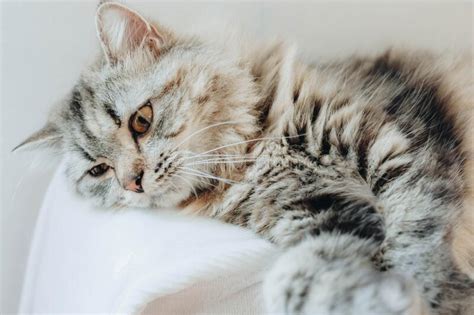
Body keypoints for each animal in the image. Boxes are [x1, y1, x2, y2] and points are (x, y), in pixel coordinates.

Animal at [13, 2, 470, 315]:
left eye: (140, 121)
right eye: (99, 170)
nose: (132, 183)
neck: (257, 153)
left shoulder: (394, 146)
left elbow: (415, 238)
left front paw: (431, 296)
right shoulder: (314, 209)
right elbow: (294, 278)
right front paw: (371, 297)